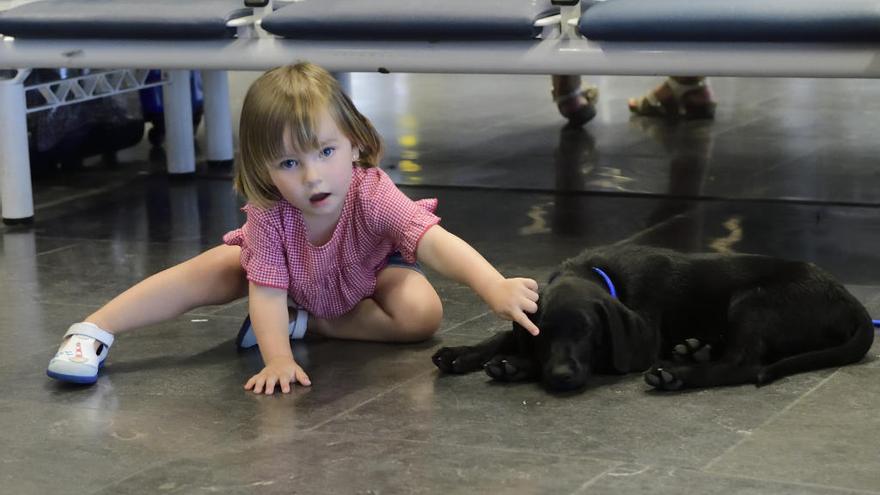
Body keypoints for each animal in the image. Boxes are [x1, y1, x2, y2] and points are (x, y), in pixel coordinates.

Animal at [434, 244, 872, 392]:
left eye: (589, 333)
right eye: (543, 335)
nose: (560, 376)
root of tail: (852, 301)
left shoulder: (637, 341)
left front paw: (514, 365)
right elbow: (505, 334)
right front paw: (463, 352)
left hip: (753, 302)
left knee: (743, 364)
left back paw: (678, 374)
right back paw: (693, 349)